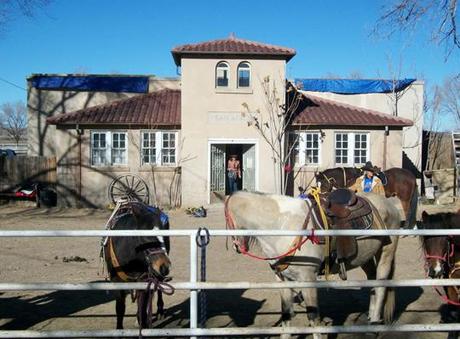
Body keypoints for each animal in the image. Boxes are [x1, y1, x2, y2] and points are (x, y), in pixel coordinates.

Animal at [102, 202, 172, 332]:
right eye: (145, 236)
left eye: (164, 236)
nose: (164, 266)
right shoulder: (116, 280)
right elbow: (120, 308)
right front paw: (119, 329)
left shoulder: (143, 279)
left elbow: (142, 305)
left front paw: (143, 324)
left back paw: (159, 311)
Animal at [225, 193, 400, 338]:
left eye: (227, 220)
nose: (237, 247)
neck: (283, 224)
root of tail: (389, 203)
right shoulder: (282, 279)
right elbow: (286, 314)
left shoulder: (307, 278)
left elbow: (313, 318)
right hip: (366, 257)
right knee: (372, 281)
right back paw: (370, 319)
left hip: (386, 252)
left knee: (381, 285)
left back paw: (373, 326)